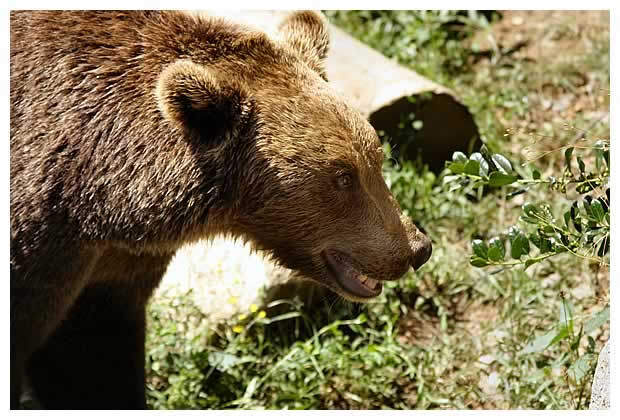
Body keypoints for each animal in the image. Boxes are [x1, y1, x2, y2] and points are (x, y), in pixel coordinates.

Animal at [9, 10, 428, 410]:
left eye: (377, 158)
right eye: (343, 177)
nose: (417, 248)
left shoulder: (114, 266)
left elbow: (92, 355)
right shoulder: (41, 241)